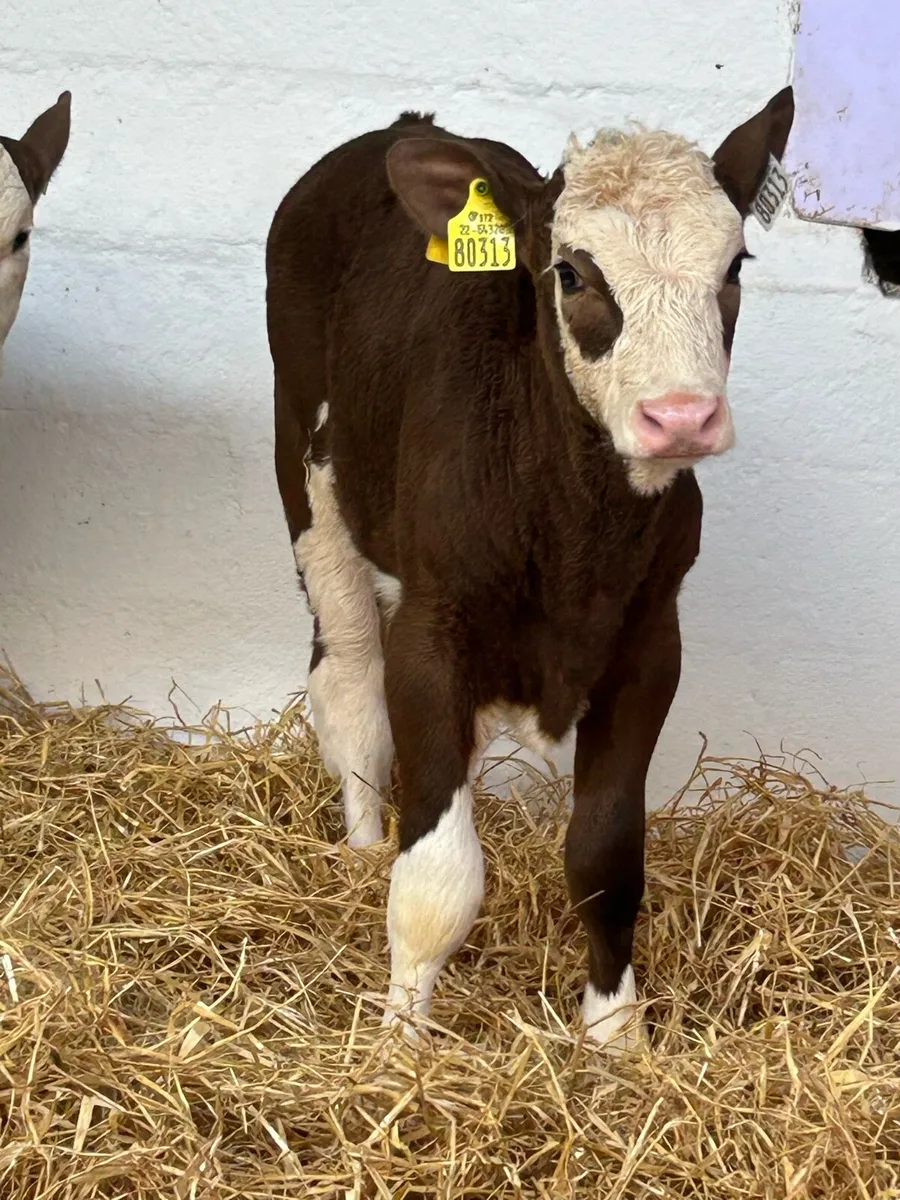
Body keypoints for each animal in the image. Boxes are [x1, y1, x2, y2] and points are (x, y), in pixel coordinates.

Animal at [266, 87, 794, 1051]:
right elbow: (437, 873)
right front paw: (401, 1040)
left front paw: (616, 1036)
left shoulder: (650, 646)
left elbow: (606, 856)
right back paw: (360, 848)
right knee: (349, 675)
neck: (576, 535)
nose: (681, 416)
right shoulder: (431, 631)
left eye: (735, 265)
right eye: (573, 274)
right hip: (310, 469)